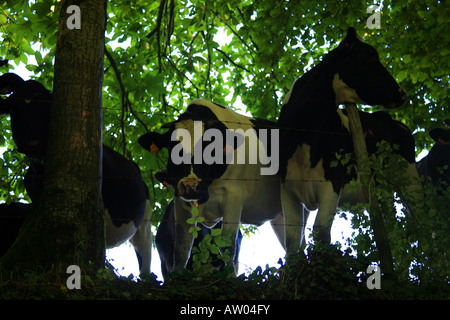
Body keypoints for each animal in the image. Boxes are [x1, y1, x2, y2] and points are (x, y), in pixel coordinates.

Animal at [138, 99, 284, 272]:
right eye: (172, 149)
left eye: (210, 148)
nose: (191, 185)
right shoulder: (180, 203)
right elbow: (181, 250)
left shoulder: (233, 197)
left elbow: (227, 247)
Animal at [276, 27, 420, 251]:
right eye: (371, 56)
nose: (402, 93)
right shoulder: (287, 187)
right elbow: (292, 242)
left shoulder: (332, 182)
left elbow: (321, 232)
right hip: (382, 191)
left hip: (410, 180)